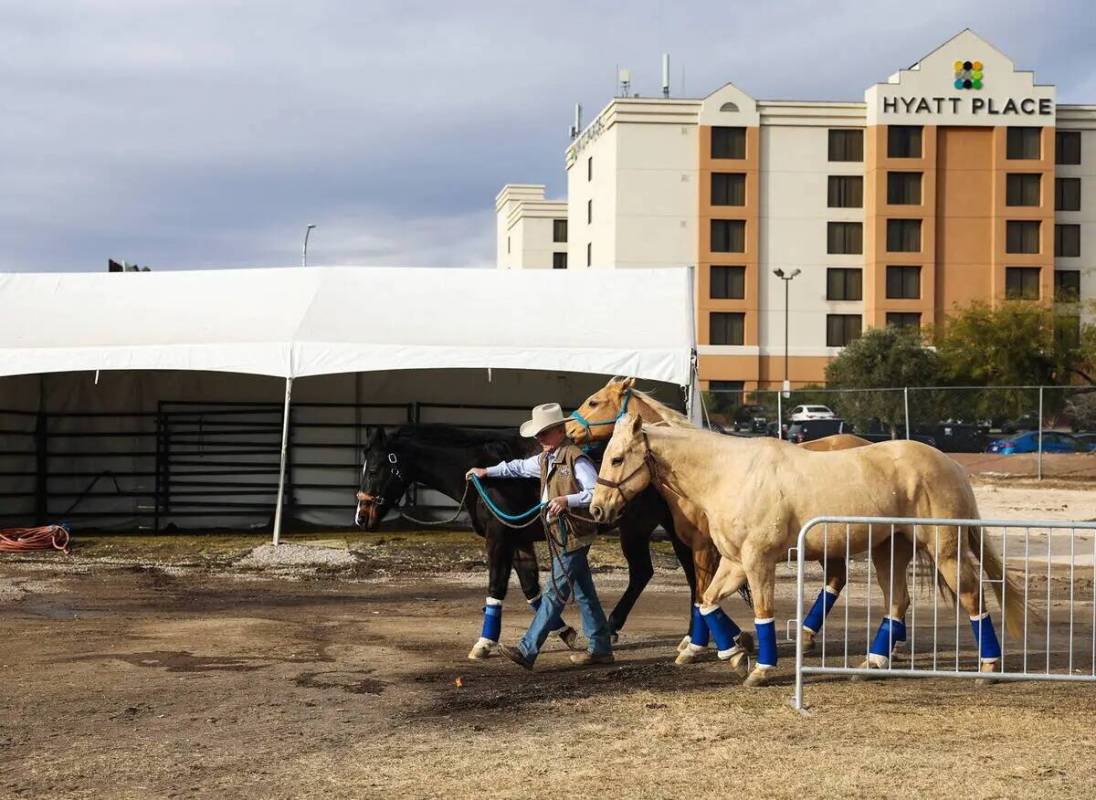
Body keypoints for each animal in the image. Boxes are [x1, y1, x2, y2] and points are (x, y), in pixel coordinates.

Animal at [569, 376, 876, 661]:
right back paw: (807, 636)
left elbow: (701, 592)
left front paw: (700, 644)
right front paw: (731, 639)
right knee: (836, 580)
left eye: (593, 402)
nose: (569, 429)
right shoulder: (692, 545)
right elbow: (703, 591)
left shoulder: (704, 547)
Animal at [591, 412, 1025, 683]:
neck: (731, 475)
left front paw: (760, 668)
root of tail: (951, 467)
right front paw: (735, 652)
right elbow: (708, 602)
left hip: (944, 550)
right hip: (890, 550)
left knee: (972, 596)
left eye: (617, 458)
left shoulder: (758, 561)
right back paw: (873, 661)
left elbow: (762, 613)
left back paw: (989, 667)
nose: (597, 508)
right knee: (897, 602)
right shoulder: (733, 561)